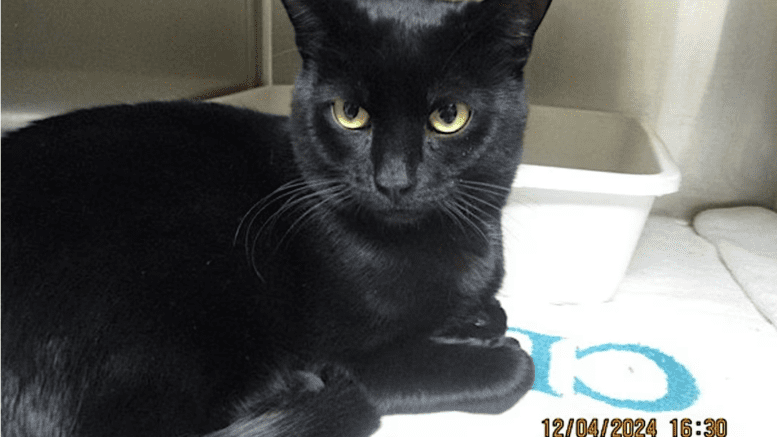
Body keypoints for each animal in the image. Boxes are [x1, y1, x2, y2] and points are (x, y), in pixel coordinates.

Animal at [1, 0, 544, 436]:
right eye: (349, 114)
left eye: (449, 116)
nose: (393, 180)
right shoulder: (341, 355)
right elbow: (513, 369)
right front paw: (496, 351)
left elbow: (486, 309)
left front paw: (476, 319)